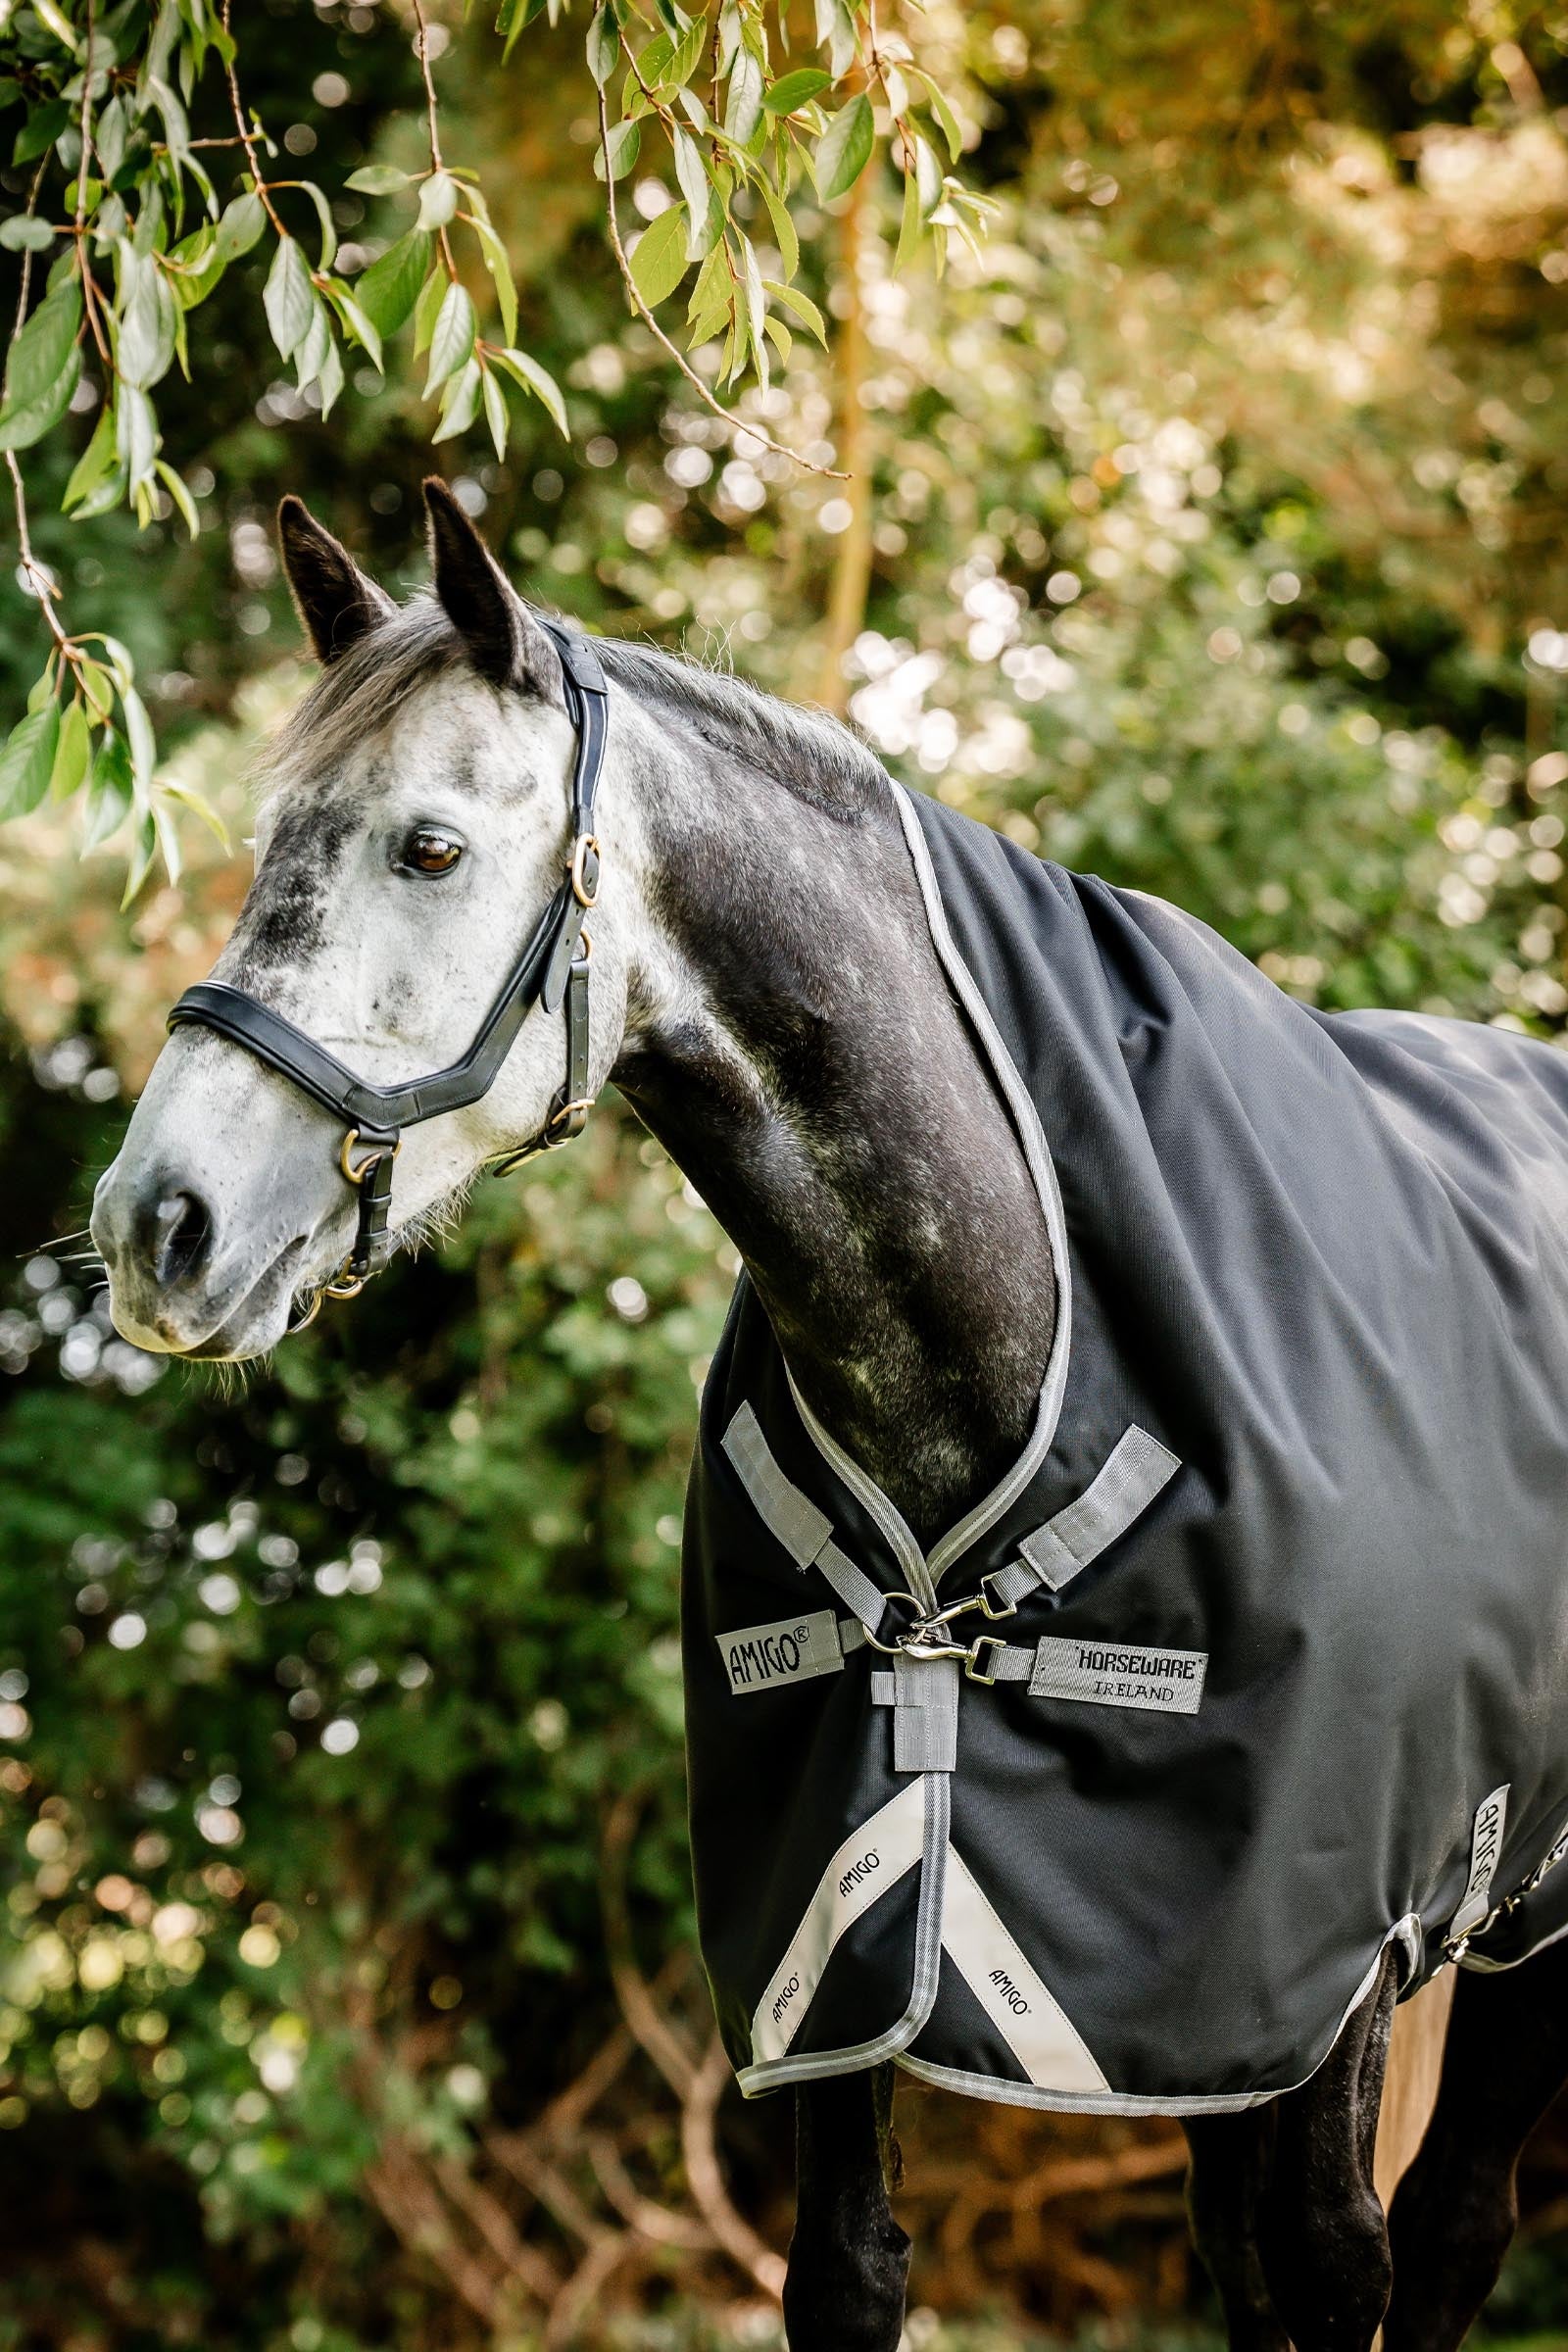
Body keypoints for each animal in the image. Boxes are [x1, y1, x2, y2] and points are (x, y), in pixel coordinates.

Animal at [89, 479, 1568, 2351]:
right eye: (270, 834)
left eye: (426, 848)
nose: (156, 1224)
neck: (1009, 1319)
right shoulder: (842, 1933)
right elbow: (851, 2273)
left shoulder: (1333, 1958)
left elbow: (1341, 2263)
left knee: (1445, 2227)